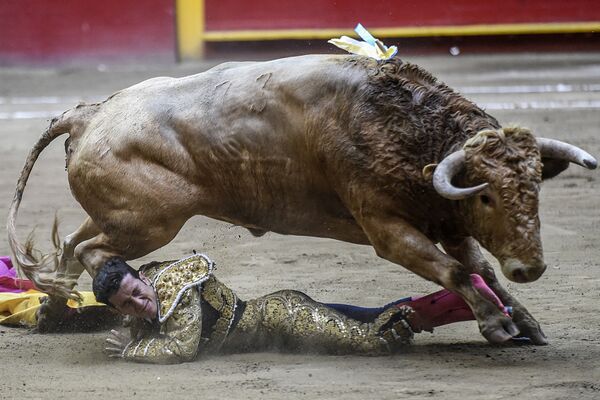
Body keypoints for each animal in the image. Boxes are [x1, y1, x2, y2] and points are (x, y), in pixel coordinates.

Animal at [7, 54, 596, 344]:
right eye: (488, 197)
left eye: (535, 186)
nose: (530, 266)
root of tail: (89, 113)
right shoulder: (387, 229)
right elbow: (454, 271)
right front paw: (496, 324)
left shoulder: (446, 221)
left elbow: (479, 270)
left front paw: (525, 322)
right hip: (150, 223)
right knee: (89, 252)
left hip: (125, 217)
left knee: (72, 247)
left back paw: (55, 314)